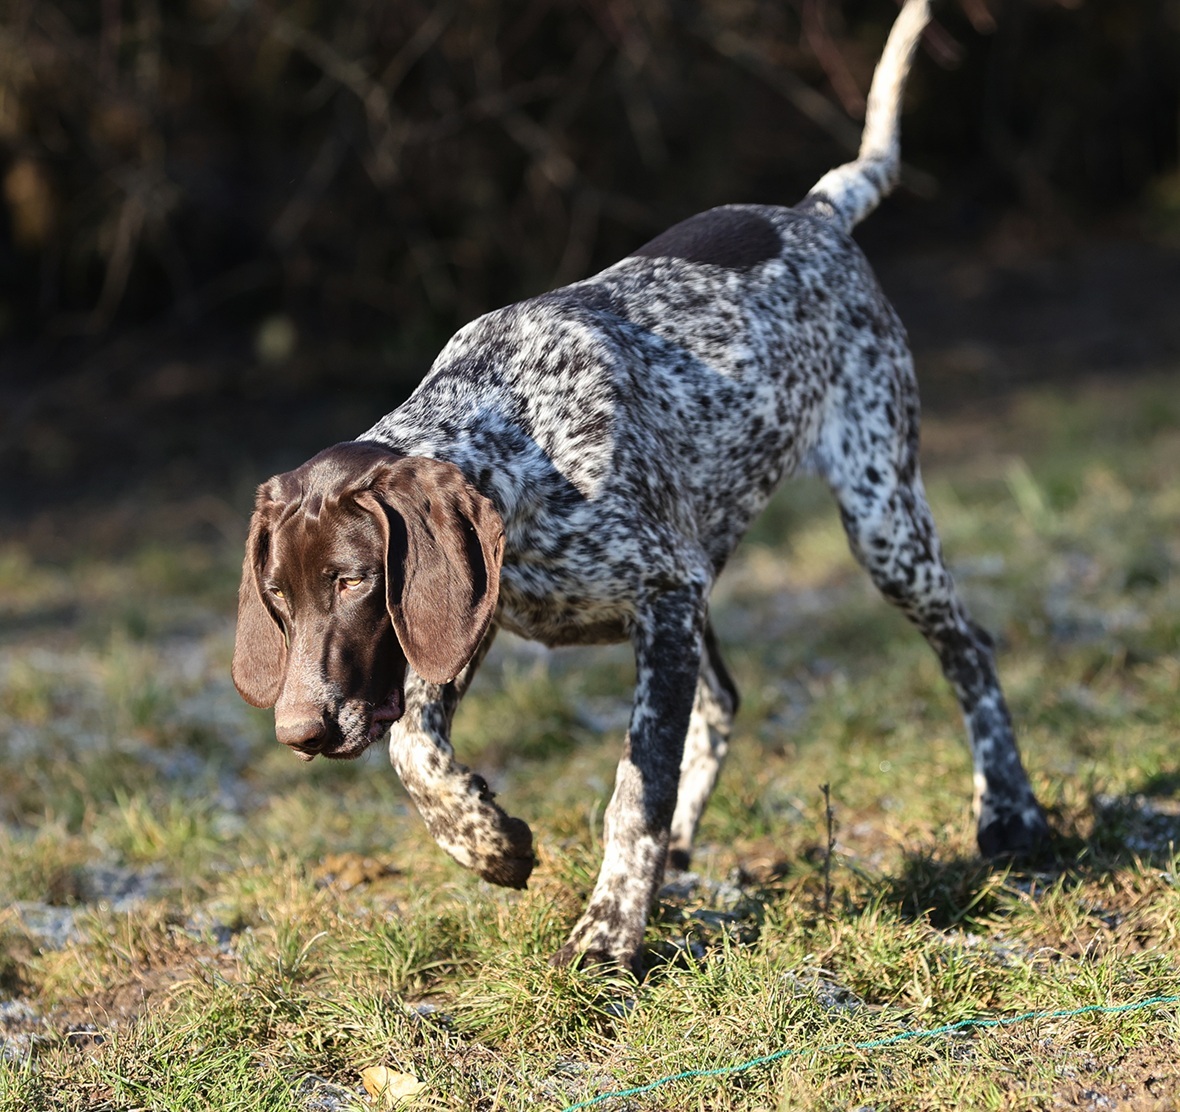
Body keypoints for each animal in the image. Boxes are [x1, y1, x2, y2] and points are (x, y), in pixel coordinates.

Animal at [232, 0, 1049, 974]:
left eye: (353, 582)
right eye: (278, 600)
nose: (299, 732)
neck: (520, 435)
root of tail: (812, 210)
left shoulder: (658, 595)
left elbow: (637, 785)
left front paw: (611, 927)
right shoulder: (470, 619)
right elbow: (414, 748)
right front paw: (490, 841)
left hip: (881, 515)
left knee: (968, 649)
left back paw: (1010, 814)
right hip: (713, 561)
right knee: (724, 700)